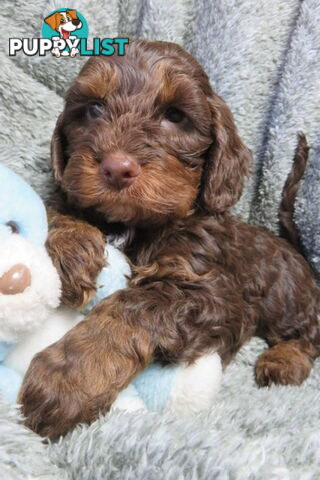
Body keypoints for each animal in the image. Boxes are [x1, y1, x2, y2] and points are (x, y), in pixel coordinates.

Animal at [19, 40, 320, 438]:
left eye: (175, 116)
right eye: (95, 108)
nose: (116, 168)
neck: (137, 224)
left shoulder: (214, 294)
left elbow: (134, 307)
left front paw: (68, 377)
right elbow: (52, 205)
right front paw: (73, 246)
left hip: (290, 298)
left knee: (308, 333)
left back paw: (285, 359)